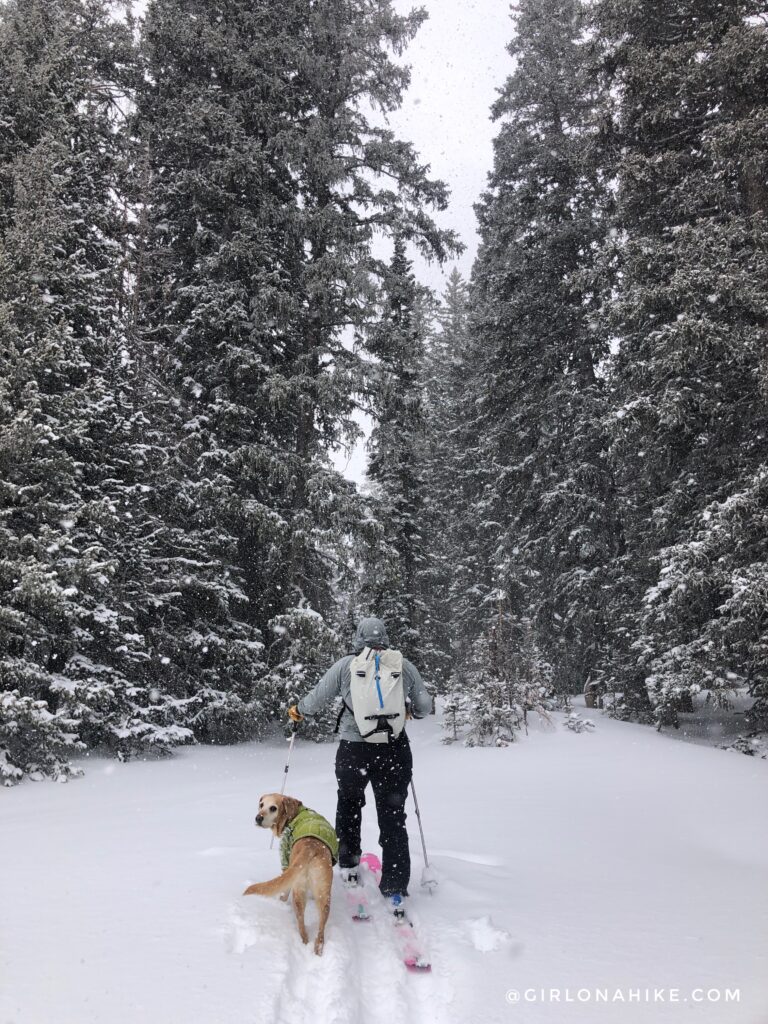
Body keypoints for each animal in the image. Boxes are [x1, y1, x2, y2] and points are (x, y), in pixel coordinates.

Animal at [243, 794, 333, 954]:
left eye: (273, 808)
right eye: (261, 804)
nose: (258, 818)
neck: (295, 812)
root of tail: (311, 848)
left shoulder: (285, 862)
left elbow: (284, 892)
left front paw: (280, 901)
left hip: (298, 891)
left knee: (302, 926)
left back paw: (303, 942)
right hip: (324, 894)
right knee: (321, 931)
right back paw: (317, 949)